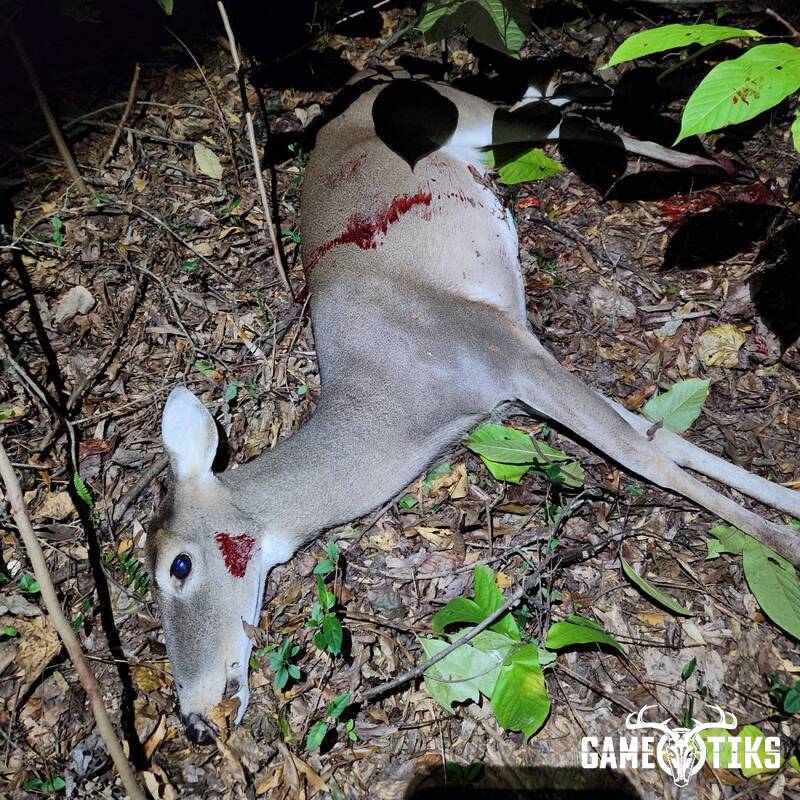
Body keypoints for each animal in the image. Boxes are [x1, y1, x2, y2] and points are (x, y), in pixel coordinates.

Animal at [147, 68, 800, 744]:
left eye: (177, 566)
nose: (192, 718)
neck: (403, 399)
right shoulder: (511, 385)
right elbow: (659, 439)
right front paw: (790, 508)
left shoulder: (501, 345)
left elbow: (647, 458)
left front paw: (786, 542)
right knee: (550, 111)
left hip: (468, 119)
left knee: (557, 117)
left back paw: (705, 155)